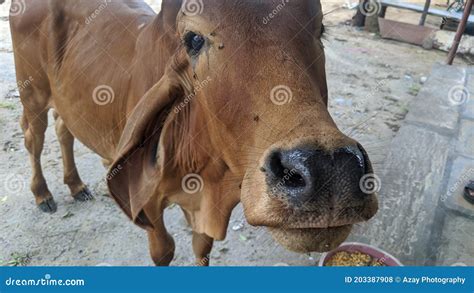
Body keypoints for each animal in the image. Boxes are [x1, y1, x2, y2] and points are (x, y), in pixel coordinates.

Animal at [10, 0, 378, 264]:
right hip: (33, 94)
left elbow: (201, 249)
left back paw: (76, 186)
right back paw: (43, 194)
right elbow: (164, 251)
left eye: (321, 29)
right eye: (194, 39)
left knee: (64, 130)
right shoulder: (148, 206)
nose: (328, 168)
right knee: (34, 138)